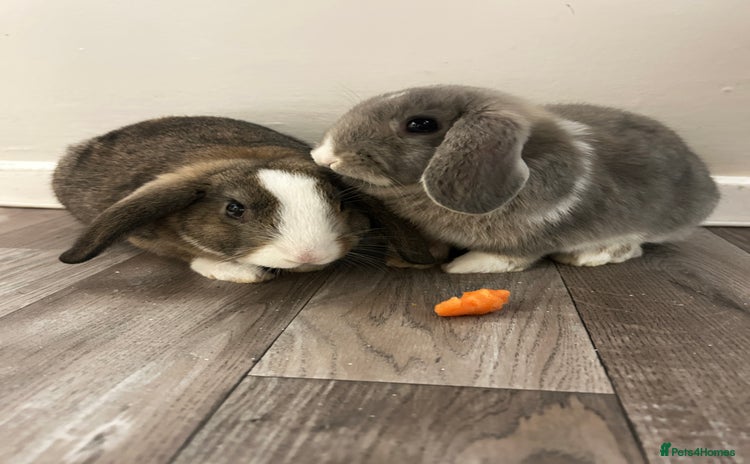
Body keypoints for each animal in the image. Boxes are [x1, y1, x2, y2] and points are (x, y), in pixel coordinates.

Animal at [310, 85, 720, 273]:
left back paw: (589, 256)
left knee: (634, 244)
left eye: (420, 124)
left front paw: (460, 266)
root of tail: (710, 190)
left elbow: (506, 259)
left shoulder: (528, 239)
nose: (324, 155)